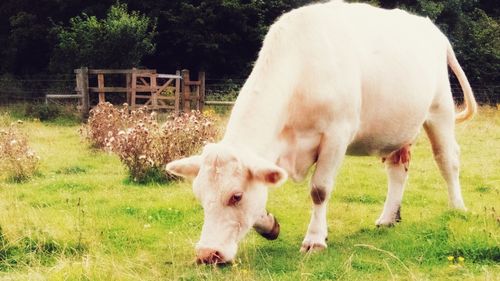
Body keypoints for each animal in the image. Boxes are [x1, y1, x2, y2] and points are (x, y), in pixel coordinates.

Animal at [165, 0, 476, 264]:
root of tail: (432, 29)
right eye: (200, 196)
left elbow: (319, 190)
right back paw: (388, 217)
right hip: (398, 127)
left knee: (447, 159)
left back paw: (457, 206)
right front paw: (269, 223)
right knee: (398, 169)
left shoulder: (337, 135)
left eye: (236, 196)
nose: (207, 254)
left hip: (440, 110)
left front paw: (315, 240)